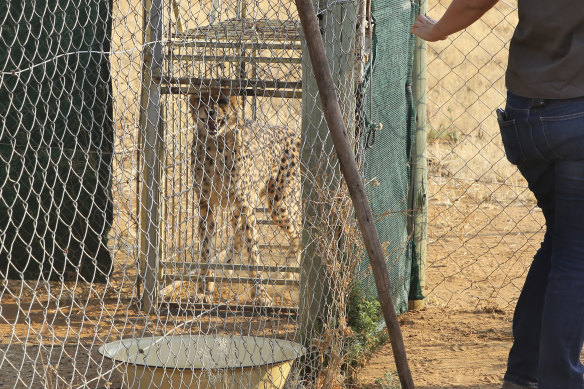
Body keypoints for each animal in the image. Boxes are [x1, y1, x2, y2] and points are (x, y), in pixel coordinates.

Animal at [190, 89, 302, 304]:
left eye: (222, 101)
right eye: (201, 99)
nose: (210, 111)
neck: (217, 144)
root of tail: (289, 130)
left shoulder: (246, 207)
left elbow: (253, 252)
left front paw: (260, 295)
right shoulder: (206, 205)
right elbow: (205, 250)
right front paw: (202, 290)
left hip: (279, 203)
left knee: (298, 230)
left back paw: (292, 270)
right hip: (241, 208)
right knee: (237, 236)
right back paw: (225, 269)